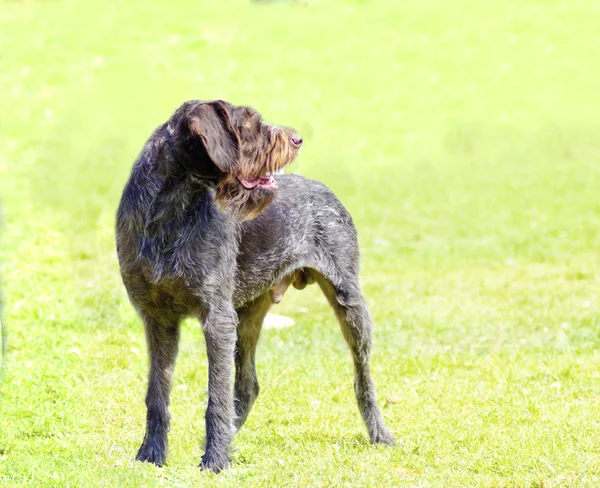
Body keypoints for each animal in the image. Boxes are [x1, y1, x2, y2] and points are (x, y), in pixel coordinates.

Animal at [116, 100, 398, 472]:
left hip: (350, 305)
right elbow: (157, 394)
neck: (169, 210)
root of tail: (321, 187)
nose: (297, 139)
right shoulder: (157, 318)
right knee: (248, 385)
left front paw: (215, 461)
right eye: (248, 124)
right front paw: (151, 455)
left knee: (363, 378)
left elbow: (216, 398)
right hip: (248, 316)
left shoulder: (217, 319)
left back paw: (380, 433)